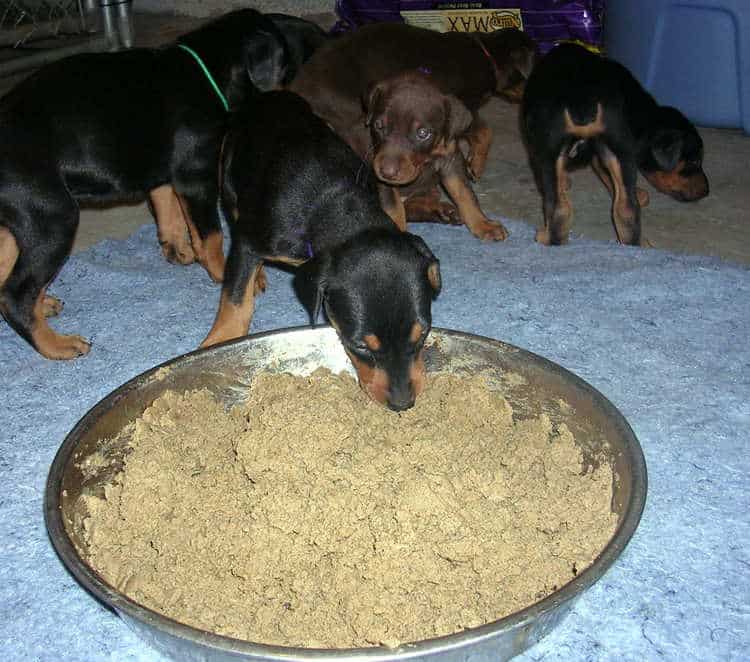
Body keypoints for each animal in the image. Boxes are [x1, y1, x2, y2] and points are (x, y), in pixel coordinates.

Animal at [0, 7, 328, 360]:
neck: (209, 70)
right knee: (16, 293)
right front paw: (225, 272)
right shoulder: (196, 175)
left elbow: (166, 204)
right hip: (51, 215)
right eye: (298, 65)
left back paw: (43, 306)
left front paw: (177, 248)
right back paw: (56, 344)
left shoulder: (166, 172)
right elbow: (210, 236)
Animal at [203, 91, 444, 412]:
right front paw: (219, 340)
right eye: (361, 345)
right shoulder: (247, 241)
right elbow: (235, 298)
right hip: (228, 177)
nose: (403, 403)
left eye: (424, 334)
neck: (338, 205)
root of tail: (266, 95)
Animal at [524, 43, 712, 246]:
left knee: (559, 208)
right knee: (627, 208)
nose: (706, 192)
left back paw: (546, 238)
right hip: (619, 149)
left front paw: (564, 181)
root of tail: (583, 99)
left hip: (550, 151)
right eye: (694, 162)